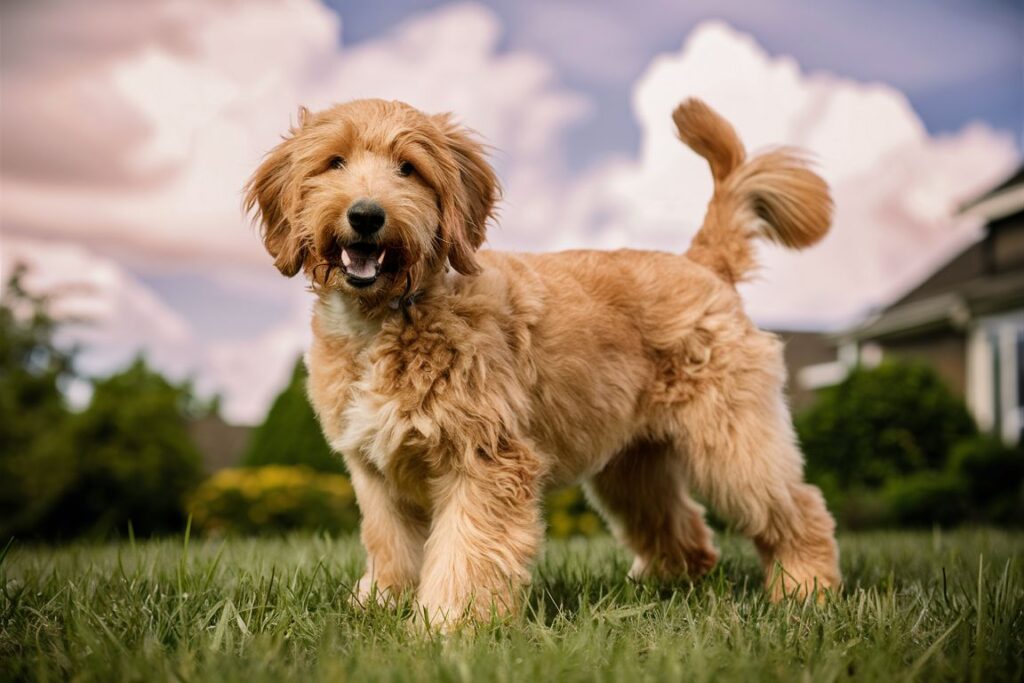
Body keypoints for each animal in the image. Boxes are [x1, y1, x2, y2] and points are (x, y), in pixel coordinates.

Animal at [245, 98, 839, 626]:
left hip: (733, 440)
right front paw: (383, 605)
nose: (366, 215)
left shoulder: (485, 460)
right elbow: (390, 545)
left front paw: (447, 625)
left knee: (798, 508)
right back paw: (666, 589)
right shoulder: (377, 473)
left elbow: (468, 552)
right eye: (334, 162)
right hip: (632, 466)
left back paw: (805, 590)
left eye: (408, 168)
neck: (397, 312)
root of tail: (702, 262)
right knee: (681, 524)